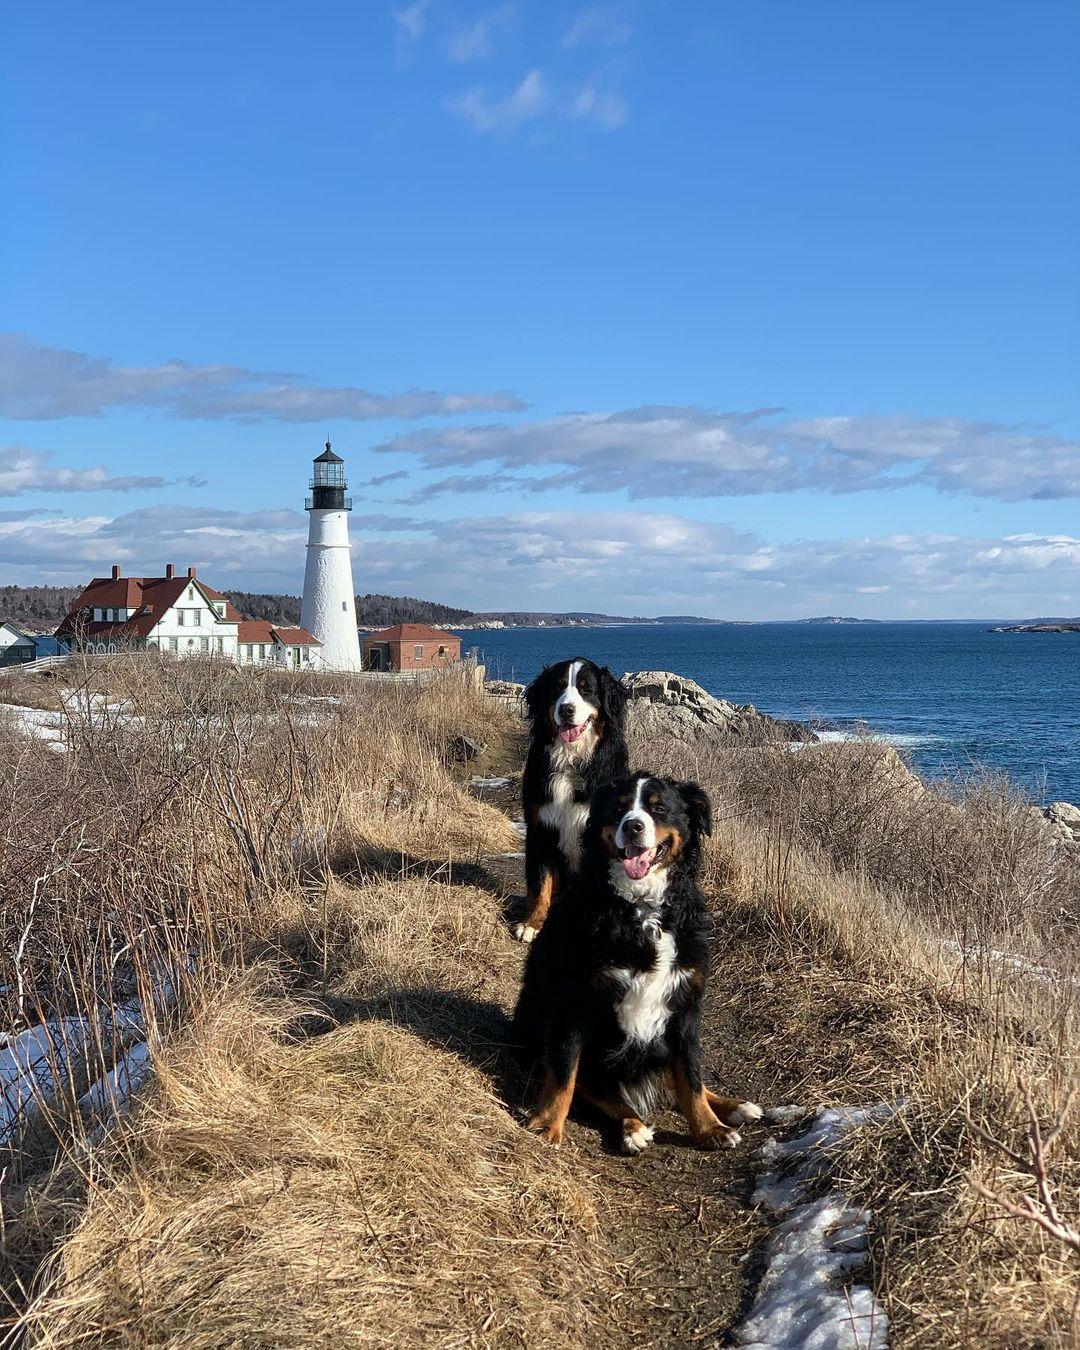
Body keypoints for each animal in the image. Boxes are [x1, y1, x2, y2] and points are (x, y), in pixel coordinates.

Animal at [513, 777, 761, 1155]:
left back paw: (735, 1107)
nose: (633, 826)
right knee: (597, 1089)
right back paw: (634, 1126)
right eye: (618, 808)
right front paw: (547, 1126)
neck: (643, 912)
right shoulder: (575, 1002)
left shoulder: (686, 1003)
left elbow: (691, 1075)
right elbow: (565, 1071)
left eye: (659, 808)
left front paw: (709, 1128)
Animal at [515, 658, 631, 945]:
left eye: (586, 689)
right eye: (557, 688)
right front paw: (532, 923)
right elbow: (541, 882)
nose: (566, 709)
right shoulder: (540, 828)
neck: (571, 760)